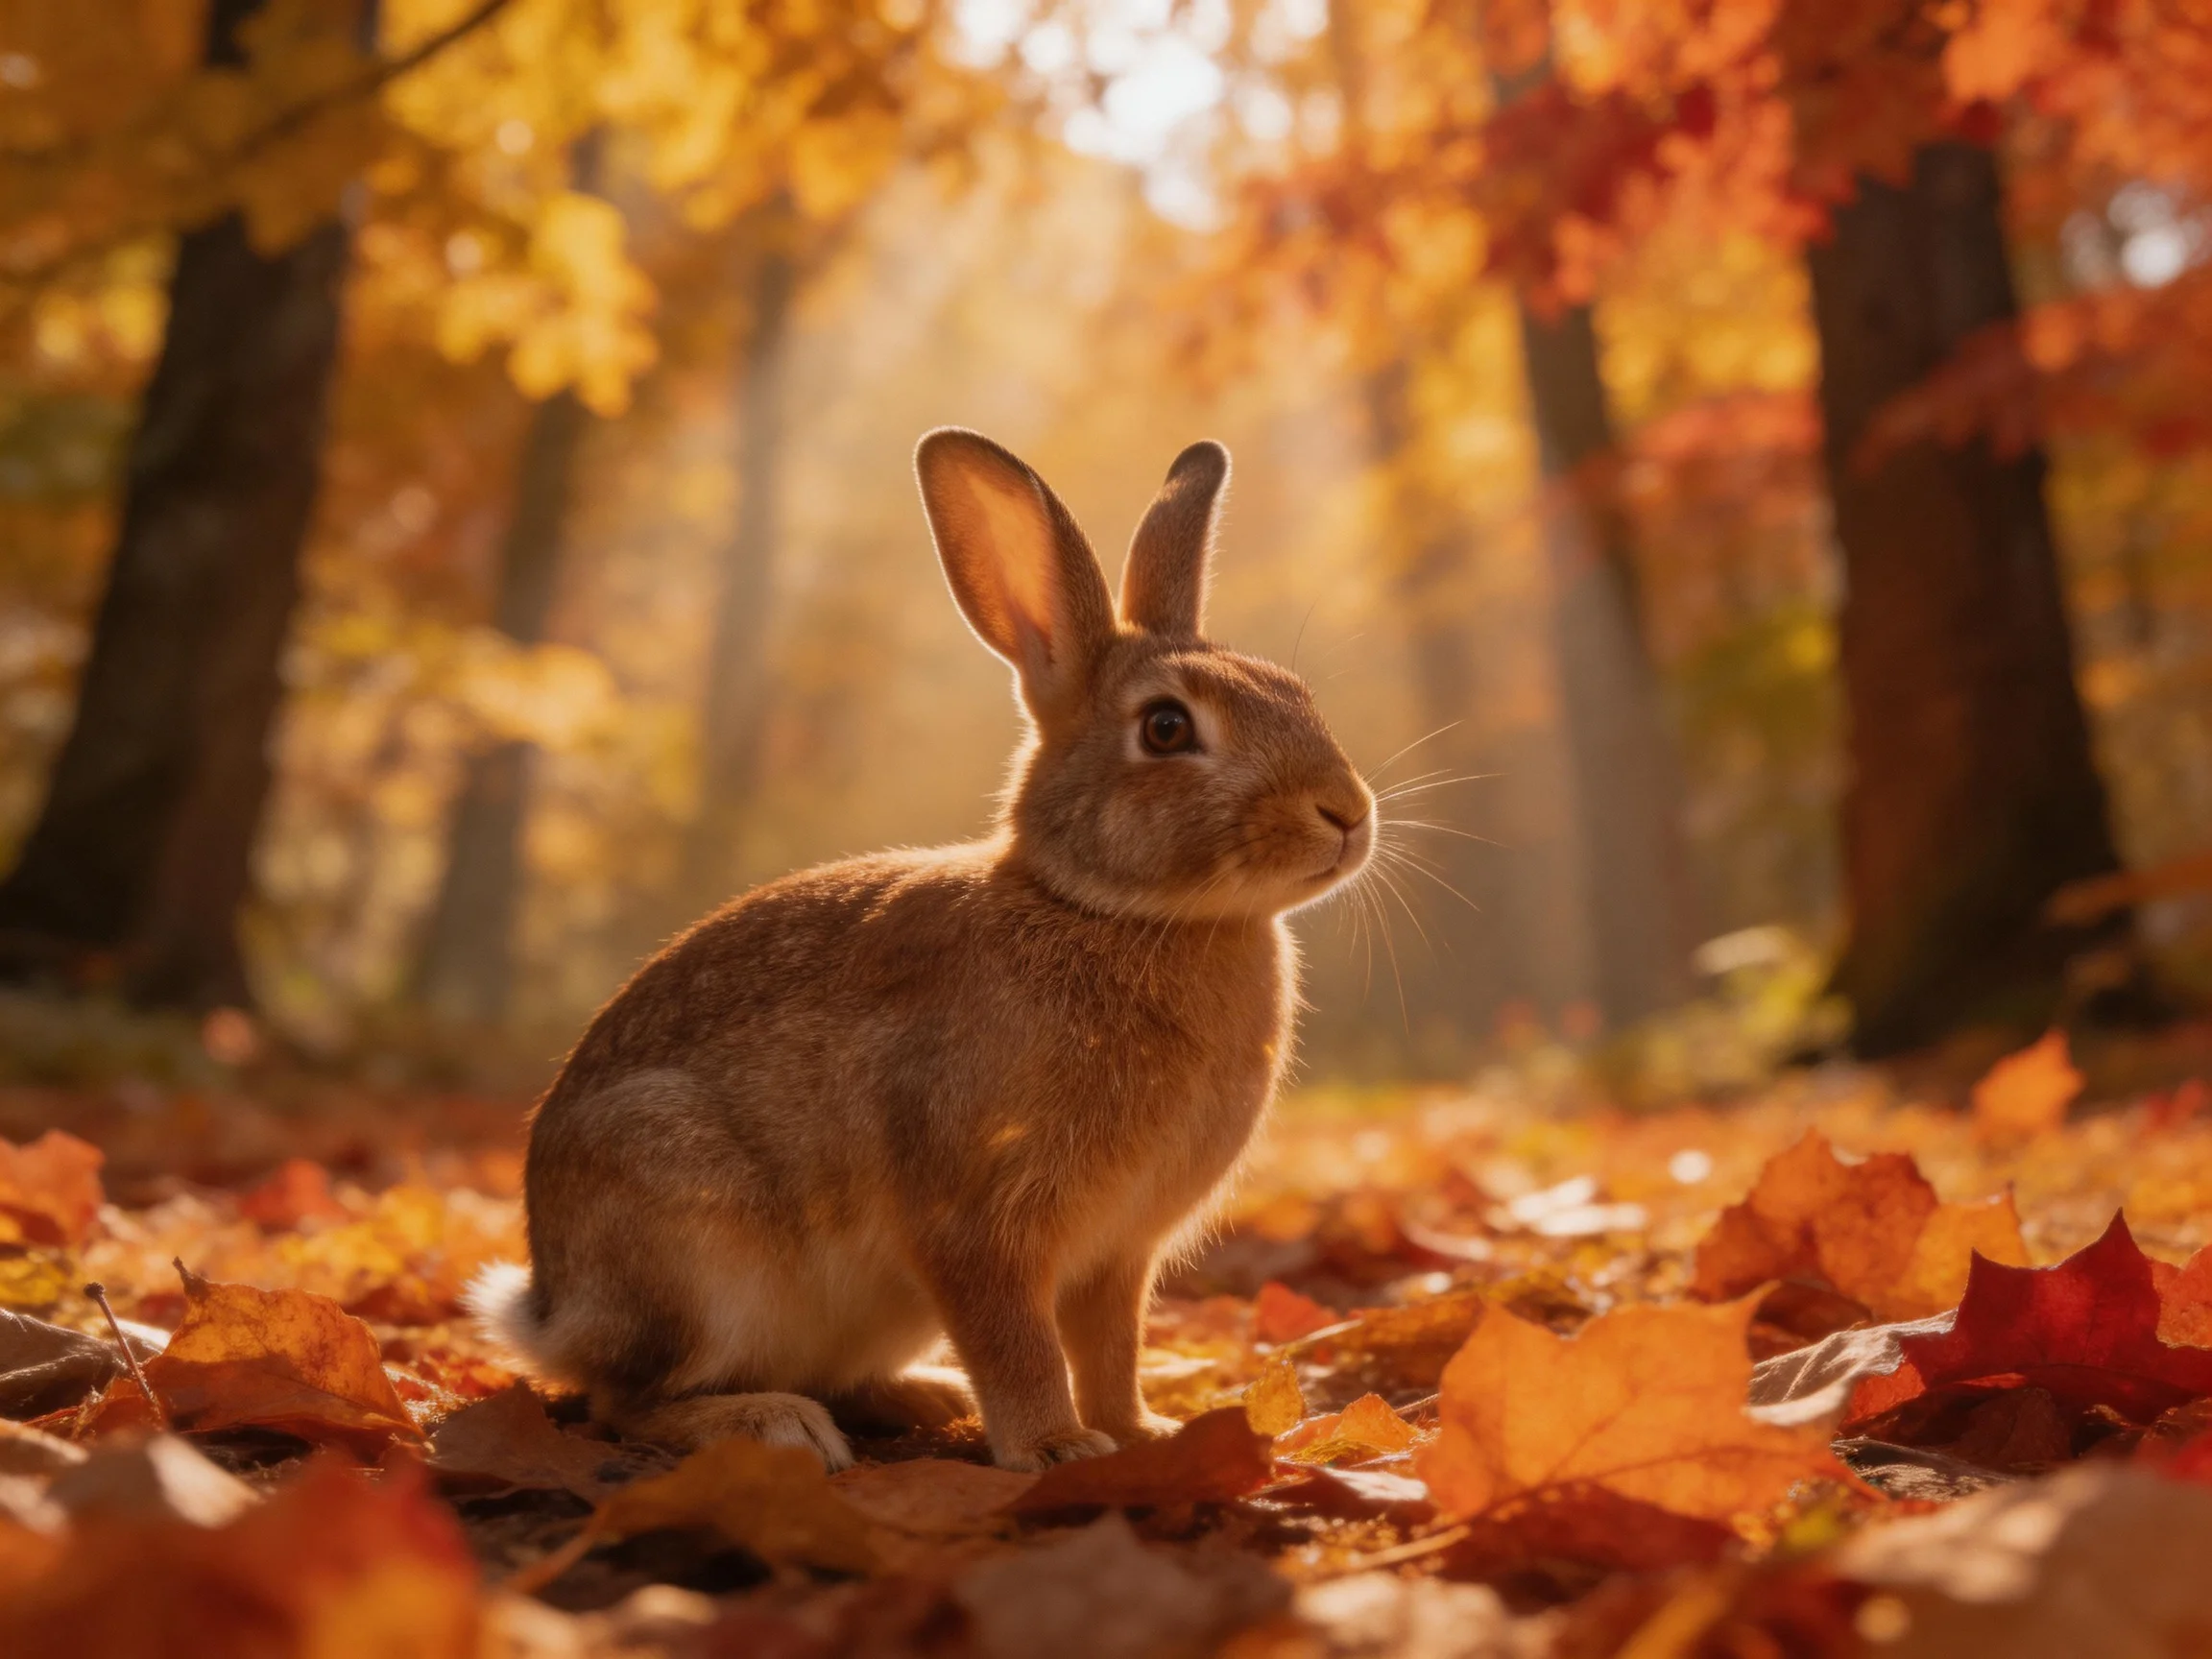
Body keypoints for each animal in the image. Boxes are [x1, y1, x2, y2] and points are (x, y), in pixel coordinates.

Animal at [469, 429, 1374, 1473]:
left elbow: (1111, 1345)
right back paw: (776, 1425)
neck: (1109, 912)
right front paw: (1058, 1449)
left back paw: (926, 1397)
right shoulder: (973, 1218)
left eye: (1298, 693)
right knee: (628, 1400)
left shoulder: (1118, 1254)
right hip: (693, 1248)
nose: (1348, 812)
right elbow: (1017, 1339)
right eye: (1166, 727)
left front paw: (1141, 1431)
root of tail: (552, 1306)